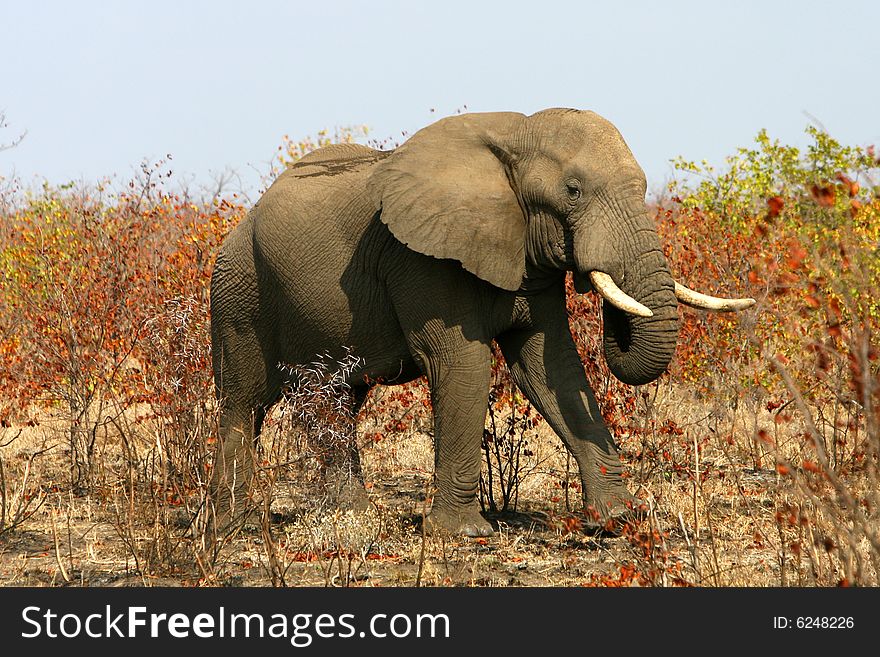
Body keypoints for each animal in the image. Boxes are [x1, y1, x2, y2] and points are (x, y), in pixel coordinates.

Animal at [210, 107, 752, 536]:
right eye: (573, 191)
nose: (615, 319)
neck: (515, 136)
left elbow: (551, 367)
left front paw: (618, 520)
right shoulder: (423, 259)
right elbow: (463, 364)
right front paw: (465, 534)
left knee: (336, 399)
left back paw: (352, 517)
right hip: (237, 291)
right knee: (244, 401)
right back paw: (232, 524)